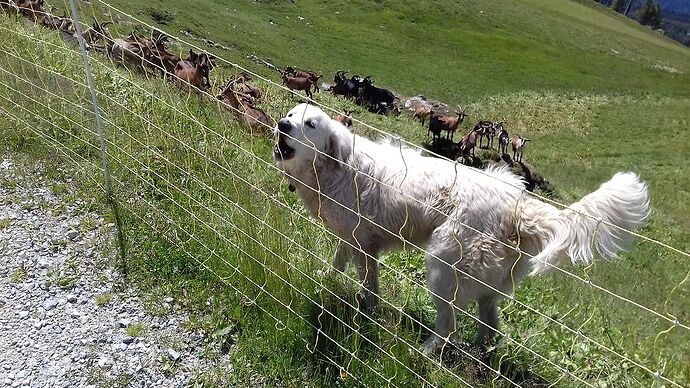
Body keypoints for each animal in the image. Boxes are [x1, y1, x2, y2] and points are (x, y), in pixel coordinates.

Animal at [272, 104, 644, 354]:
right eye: (292, 114)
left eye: (310, 124)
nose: (282, 124)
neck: (335, 166)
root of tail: (520, 204)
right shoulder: (351, 236)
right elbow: (338, 261)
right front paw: (326, 278)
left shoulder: (364, 245)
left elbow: (368, 284)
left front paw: (367, 312)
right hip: (487, 286)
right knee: (491, 326)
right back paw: (481, 354)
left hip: (443, 267)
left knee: (449, 326)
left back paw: (425, 352)